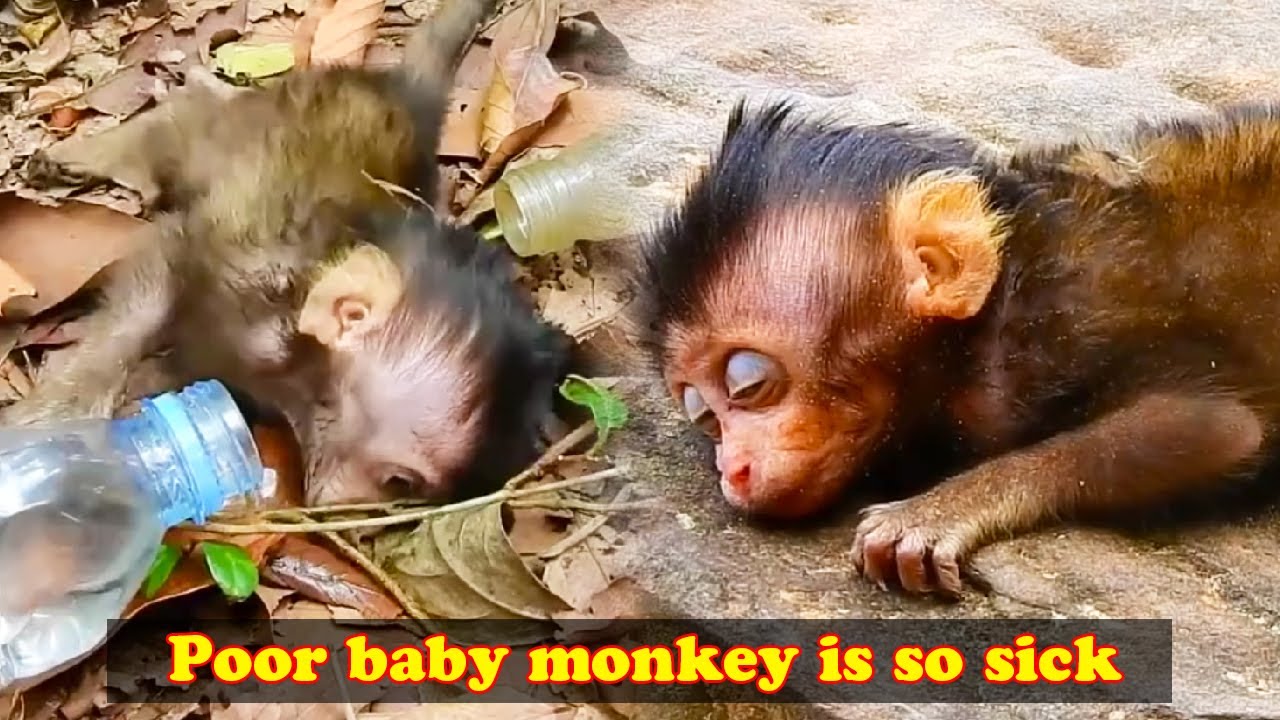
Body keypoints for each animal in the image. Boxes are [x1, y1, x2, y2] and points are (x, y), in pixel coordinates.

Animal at [3, 0, 574, 506]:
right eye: (398, 482)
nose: (350, 511)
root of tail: (404, 96)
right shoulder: (246, 269)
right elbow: (161, 274)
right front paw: (64, 411)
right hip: (283, 107)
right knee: (186, 132)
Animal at [636, 98, 1280, 598]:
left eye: (748, 383)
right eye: (705, 417)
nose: (732, 468)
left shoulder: (1056, 331)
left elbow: (1215, 429)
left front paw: (940, 509)